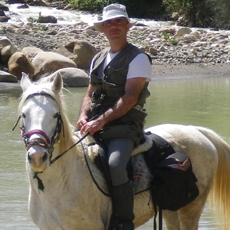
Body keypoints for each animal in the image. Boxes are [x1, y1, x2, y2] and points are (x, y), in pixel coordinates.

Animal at [17, 74, 230, 230]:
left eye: (55, 115)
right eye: (24, 115)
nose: (37, 156)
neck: (63, 181)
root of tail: (197, 131)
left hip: (190, 209)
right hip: (171, 210)